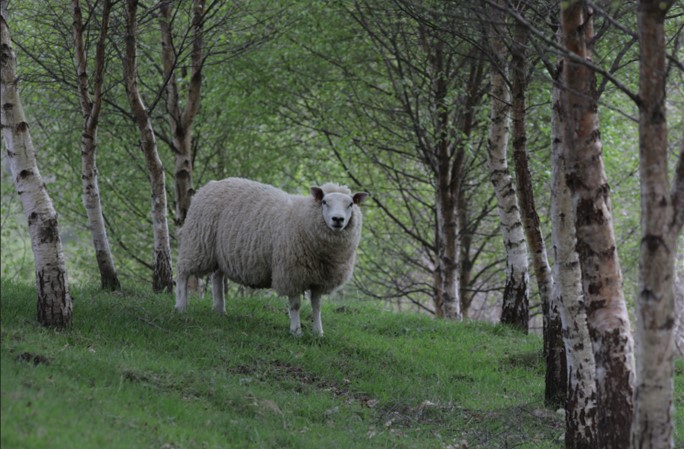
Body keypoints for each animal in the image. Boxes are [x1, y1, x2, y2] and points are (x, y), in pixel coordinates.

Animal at [176, 177, 368, 334]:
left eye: (351, 204)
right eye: (325, 202)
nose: (338, 219)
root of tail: (210, 184)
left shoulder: (319, 278)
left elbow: (317, 306)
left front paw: (318, 332)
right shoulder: (291, 273)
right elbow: (295, 305)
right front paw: (296, 331)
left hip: (220, 252)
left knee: (217, 277)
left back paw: (220, 310)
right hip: (198, 243)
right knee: (182, 272)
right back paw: (181, 306)